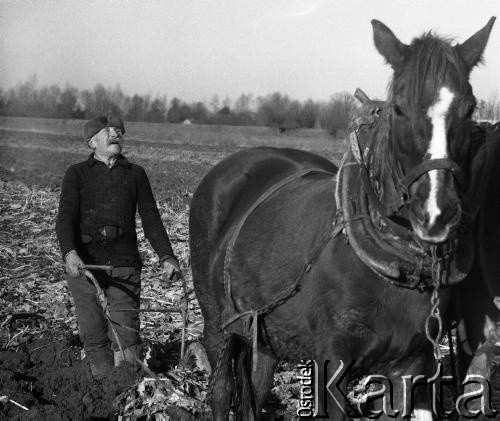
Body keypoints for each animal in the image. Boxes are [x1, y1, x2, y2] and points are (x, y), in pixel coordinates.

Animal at [189, 18, 494, 418]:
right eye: (399, 107)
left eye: (469, 109)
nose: (436, 213)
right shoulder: (333, 360)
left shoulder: (412, 362)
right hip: (217, 324)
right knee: (222, 389)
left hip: (264, 332)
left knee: (256, 386)